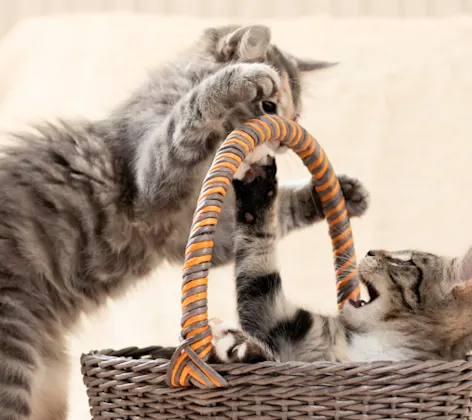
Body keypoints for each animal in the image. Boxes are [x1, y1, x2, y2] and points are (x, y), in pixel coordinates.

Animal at [200, 158, 472, 364]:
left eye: (404, 261)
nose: (370, 252)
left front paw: (240, 346)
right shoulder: (285, 319)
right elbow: (258, 265)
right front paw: (256, 183)